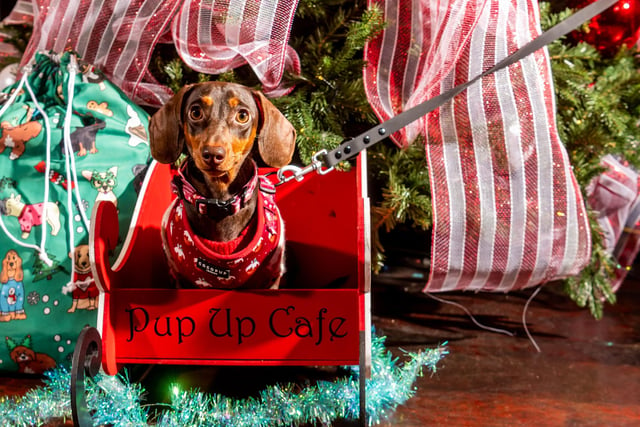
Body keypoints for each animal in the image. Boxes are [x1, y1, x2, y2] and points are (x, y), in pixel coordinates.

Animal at [151, 83, 298, 290]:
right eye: (195, 112)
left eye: (242, 115)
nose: (213, 154)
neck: (220, 203)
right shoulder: (181, 277)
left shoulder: (271, 278)